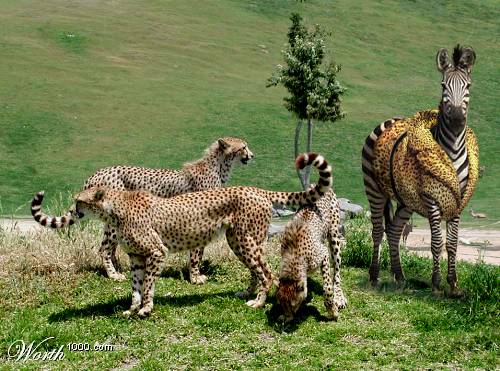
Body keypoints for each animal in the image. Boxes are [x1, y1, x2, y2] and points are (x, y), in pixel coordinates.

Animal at [29, 137, 252, 284]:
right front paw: (195, 277)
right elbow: (196, 253)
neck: (219, 166)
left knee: (111, 249)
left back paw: (119, 268)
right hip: (115, 221)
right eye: (243, 147)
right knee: (104, 249)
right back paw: (114, 275)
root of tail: (96, 173)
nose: (252, 155)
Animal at [29, 153, 330, 318]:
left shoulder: (156, 251)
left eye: (80, 201)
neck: (114, 210)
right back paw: (248, 291)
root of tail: (256, 189)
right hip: (237, 240)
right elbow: (136, 285)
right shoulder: (137, 256)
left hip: (246, 239)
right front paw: (132, 308)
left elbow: (149, 284)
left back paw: (258, 301)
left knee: (266, 271)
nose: (74, 210)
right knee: (257, 269)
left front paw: (146, 309)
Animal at [276, 189, 346, 322]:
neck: (294, 256)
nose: (288, 318)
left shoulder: (323, 254)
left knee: (337, 272)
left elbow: (327, 287)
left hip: (334, 235)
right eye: (281, 304)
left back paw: (339, 296)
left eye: (292, 305)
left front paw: (332, 310)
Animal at [362, 45, 478, 296]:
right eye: (443, 85)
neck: (452, 151)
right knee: (377, 230)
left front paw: (453, 284)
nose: (456, 119)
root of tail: (391, 120)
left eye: (468, 86)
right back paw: (374, 276)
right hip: (374, 189)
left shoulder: (458, 199)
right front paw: (435, 284)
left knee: (394, 230)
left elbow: (452, 243)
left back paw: (399, 276)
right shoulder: (430, 198)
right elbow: (436, 242)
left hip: (406, 199)